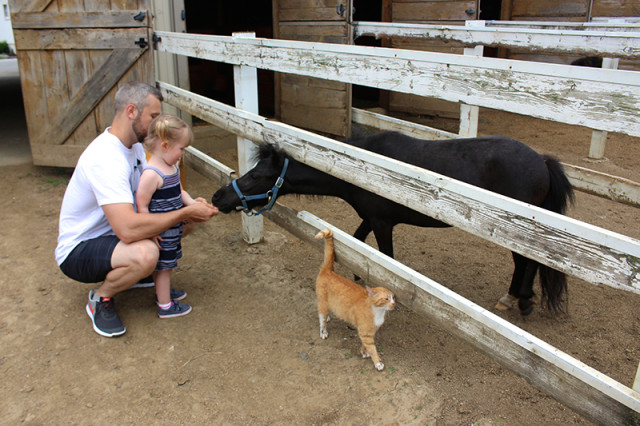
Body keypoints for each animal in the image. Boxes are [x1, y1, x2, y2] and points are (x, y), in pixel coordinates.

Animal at [211, 131, 576, 314]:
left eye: (256, 175)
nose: (218, 197)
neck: (363, 168)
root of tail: (541, 161)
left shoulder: (383, 223)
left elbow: (386, 260)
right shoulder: (370, 219)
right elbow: (357, 243)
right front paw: (356, 278)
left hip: (520, 235)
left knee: (527, 263)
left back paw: (521, 301)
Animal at [314, 228, 396, 372]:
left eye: (393, 297)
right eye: (386, 298)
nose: (394, 303)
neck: (378, 311)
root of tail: (328, 270)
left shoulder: (369, 333)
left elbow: (366, 345)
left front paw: (364, 352)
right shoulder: (366, 333)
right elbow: (373, 349)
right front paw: (378, 363)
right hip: (323, 302)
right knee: (321, 318)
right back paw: (323, 331)